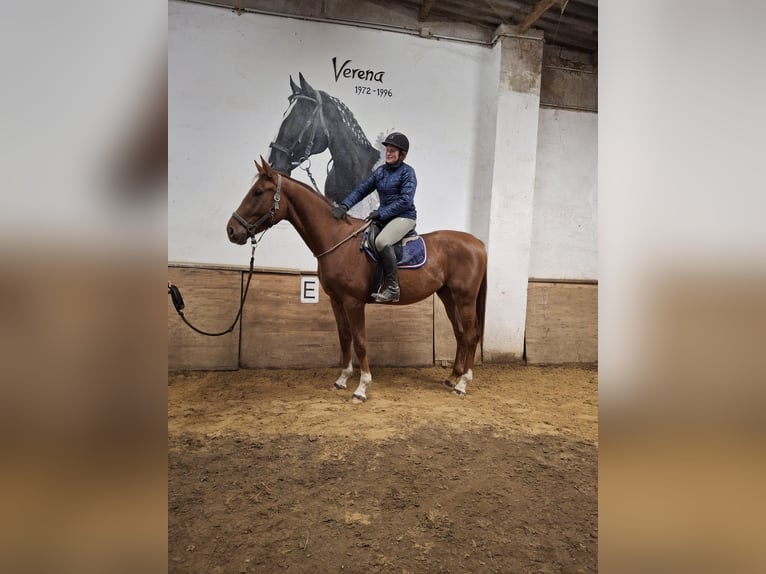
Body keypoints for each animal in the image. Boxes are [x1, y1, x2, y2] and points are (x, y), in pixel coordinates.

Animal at [227, 158, 487, 403]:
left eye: (258, 192)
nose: (231, 230)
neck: (336, 239)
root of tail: (478, 243)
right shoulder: (336, 300)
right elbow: (344, 338)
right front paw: (342, 379)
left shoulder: (353, 302)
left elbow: (360, 341)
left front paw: (362, 388)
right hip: (448, 296)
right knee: (460, 333)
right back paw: (453, 377)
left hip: (465, 299)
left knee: (471, 334)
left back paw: (463, 383)